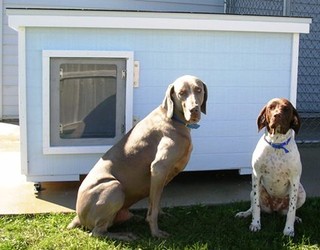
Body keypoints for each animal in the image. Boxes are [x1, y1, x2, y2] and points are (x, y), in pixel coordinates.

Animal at [67, 74, 208, 240]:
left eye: (198, 90)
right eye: (181, 93)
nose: (194, 110)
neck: (173, 119)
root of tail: (78, 216)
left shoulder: (161, 177)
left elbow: (155, 201)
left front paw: (161, 215)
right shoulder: (159, 168)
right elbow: (153, 210)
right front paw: (156, 232)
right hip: (114, 188)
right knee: (98, 232)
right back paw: (125, 235)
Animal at [236, 97, 306, 236]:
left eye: (286, 108)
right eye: (271, 107)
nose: (277, 115)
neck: (277, 143)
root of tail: (275, 208)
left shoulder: (295, 180)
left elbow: (292, 209)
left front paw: (289, 230)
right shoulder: (256, 176)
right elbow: (256, 206)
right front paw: (255, 224)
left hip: (302, 193)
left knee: (288, 211)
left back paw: (296, 218)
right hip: (254, 191)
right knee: (253, 207)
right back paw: (244, 214)